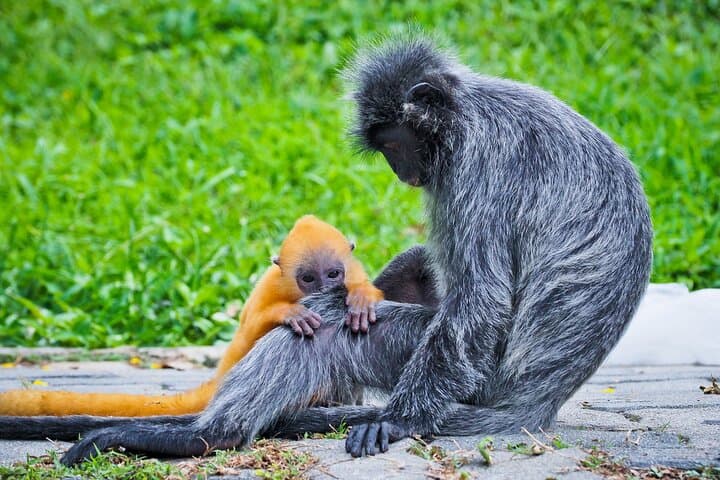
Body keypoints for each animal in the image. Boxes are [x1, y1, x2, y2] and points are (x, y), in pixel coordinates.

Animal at [0, 215, 384, 417]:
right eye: (308, 279)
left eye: (332, 274)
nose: (325, 288)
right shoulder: (270, 285)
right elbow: (254, 324)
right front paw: (291, 313)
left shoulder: (353, 270)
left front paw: (361, 297)